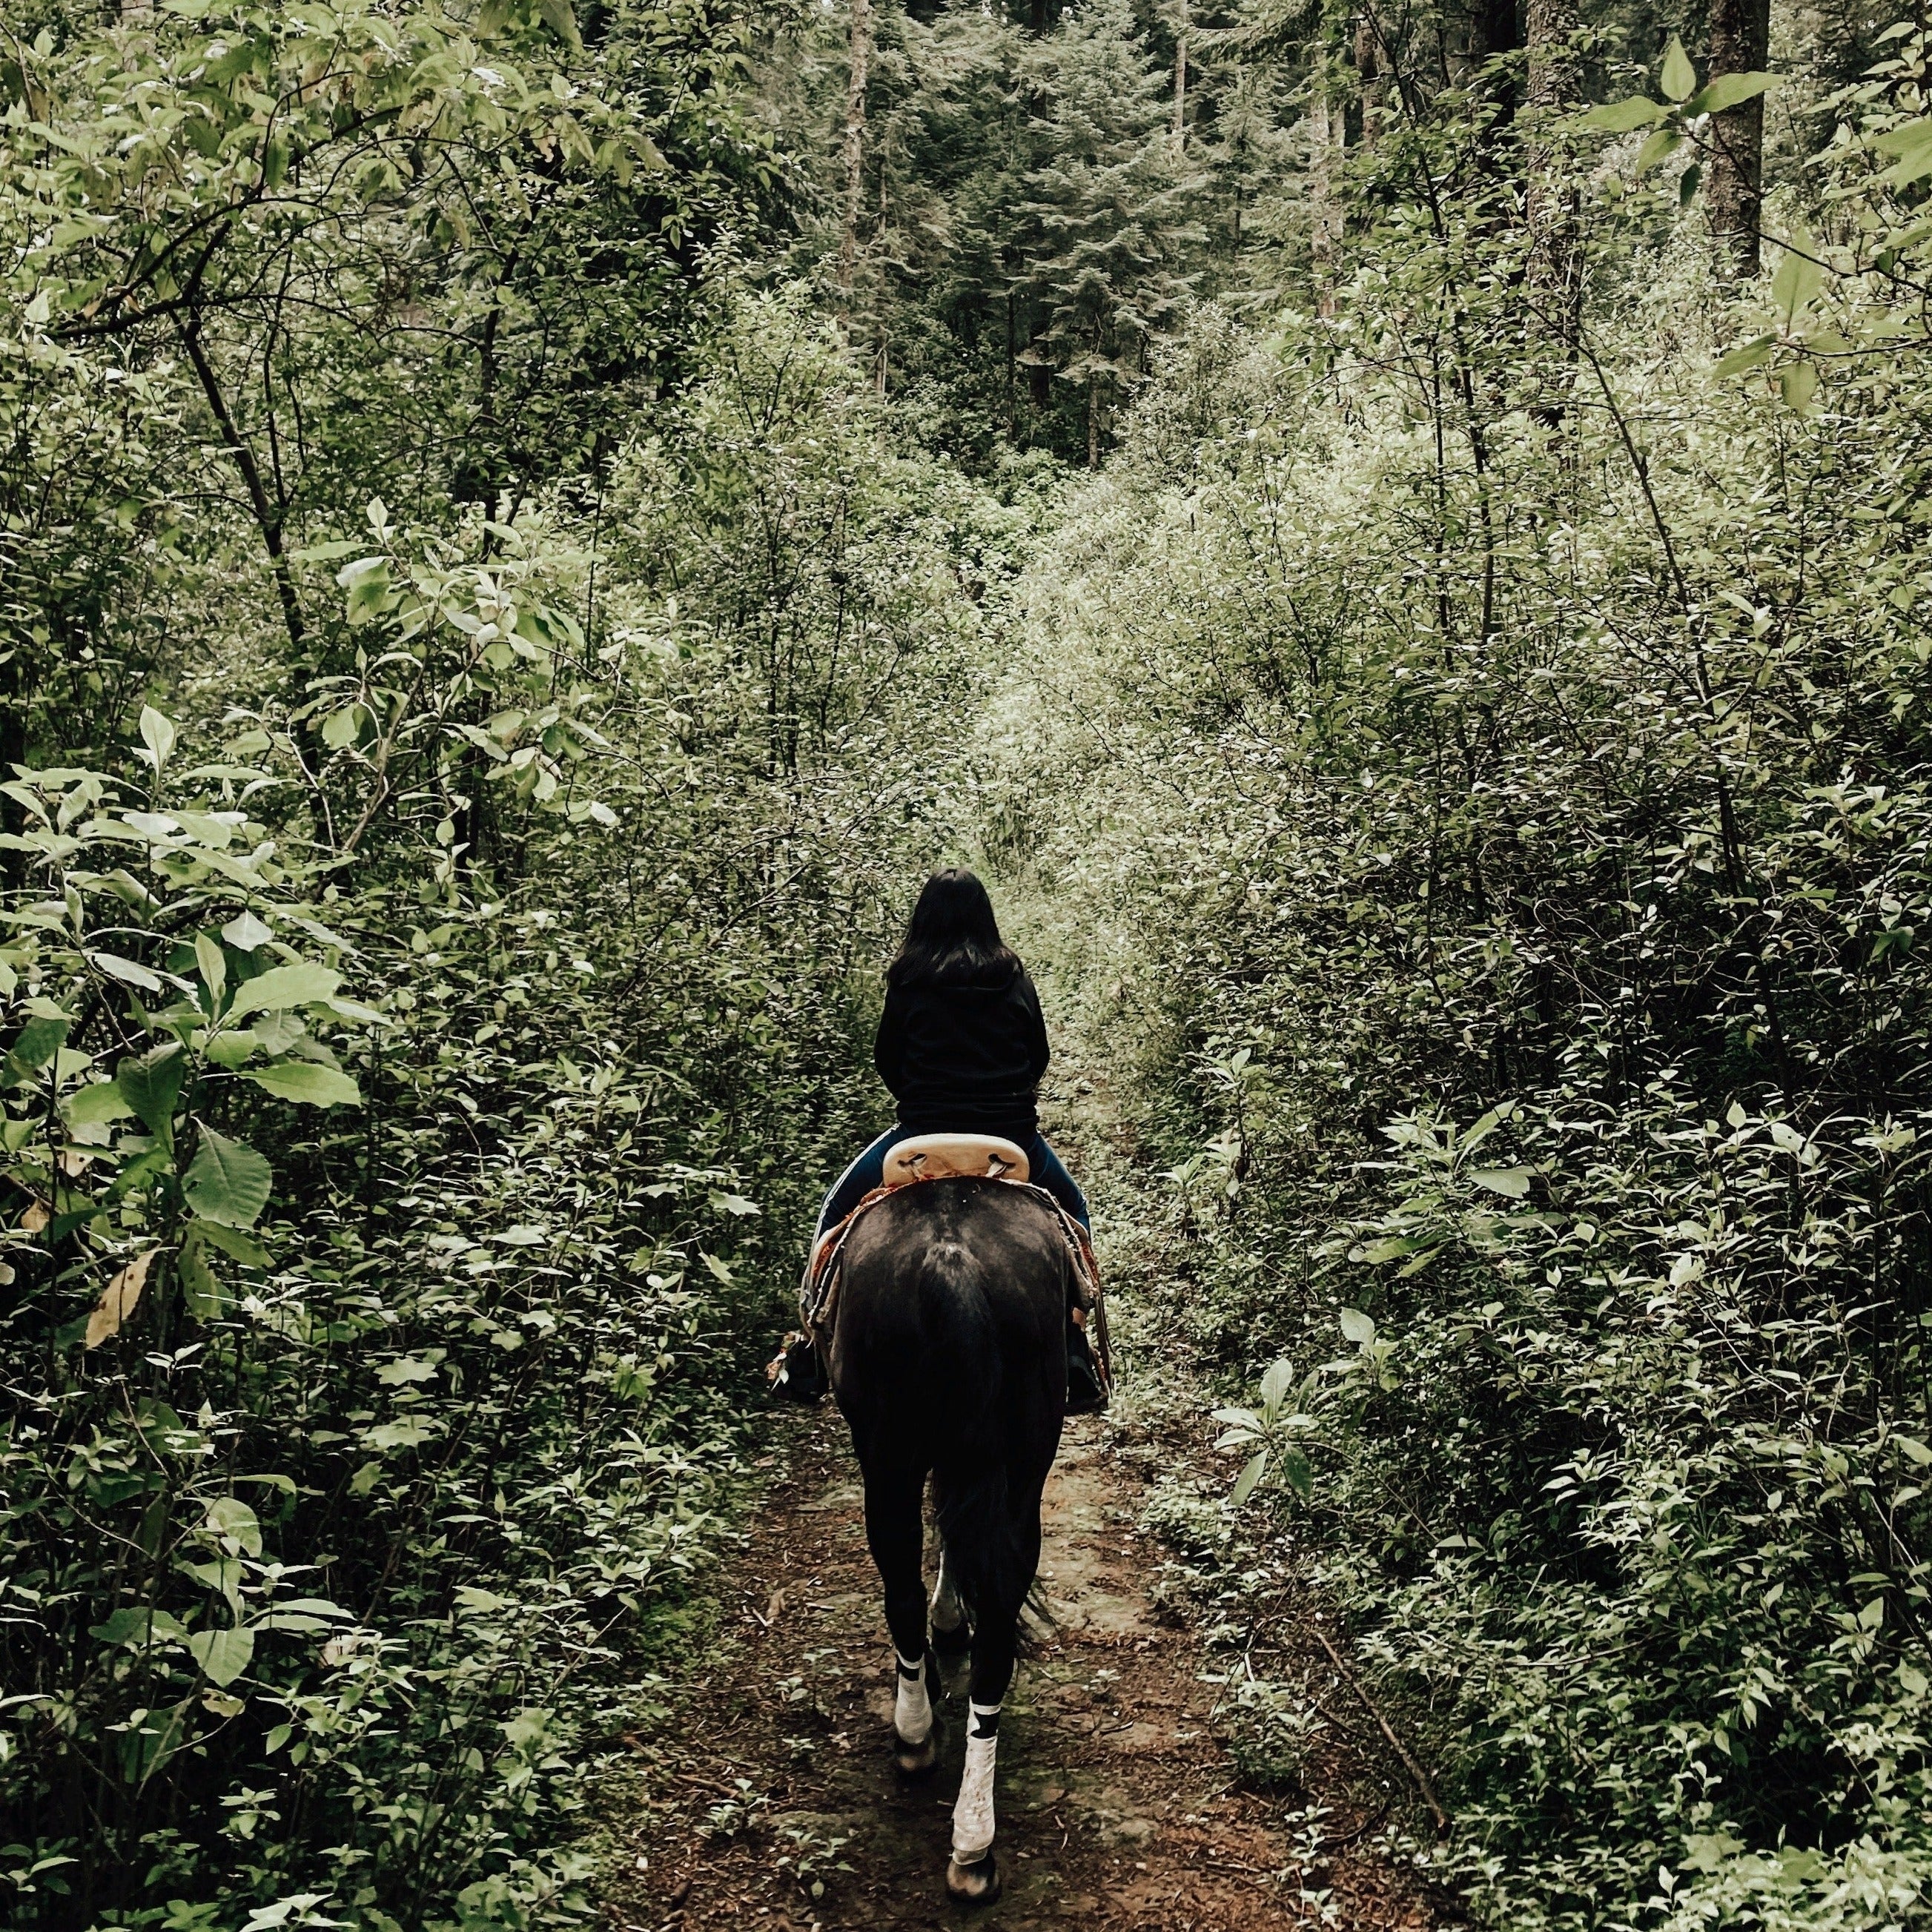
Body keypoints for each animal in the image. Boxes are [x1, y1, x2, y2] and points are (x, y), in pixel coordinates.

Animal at [827, 1174, 1073, 1901]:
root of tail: (951, 1261)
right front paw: (952, 1619)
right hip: (1019, 1453)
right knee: (992, 1627)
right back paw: (973, 1839)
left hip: (888, 1452)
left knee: (902, 1584)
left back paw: (918, 1741)